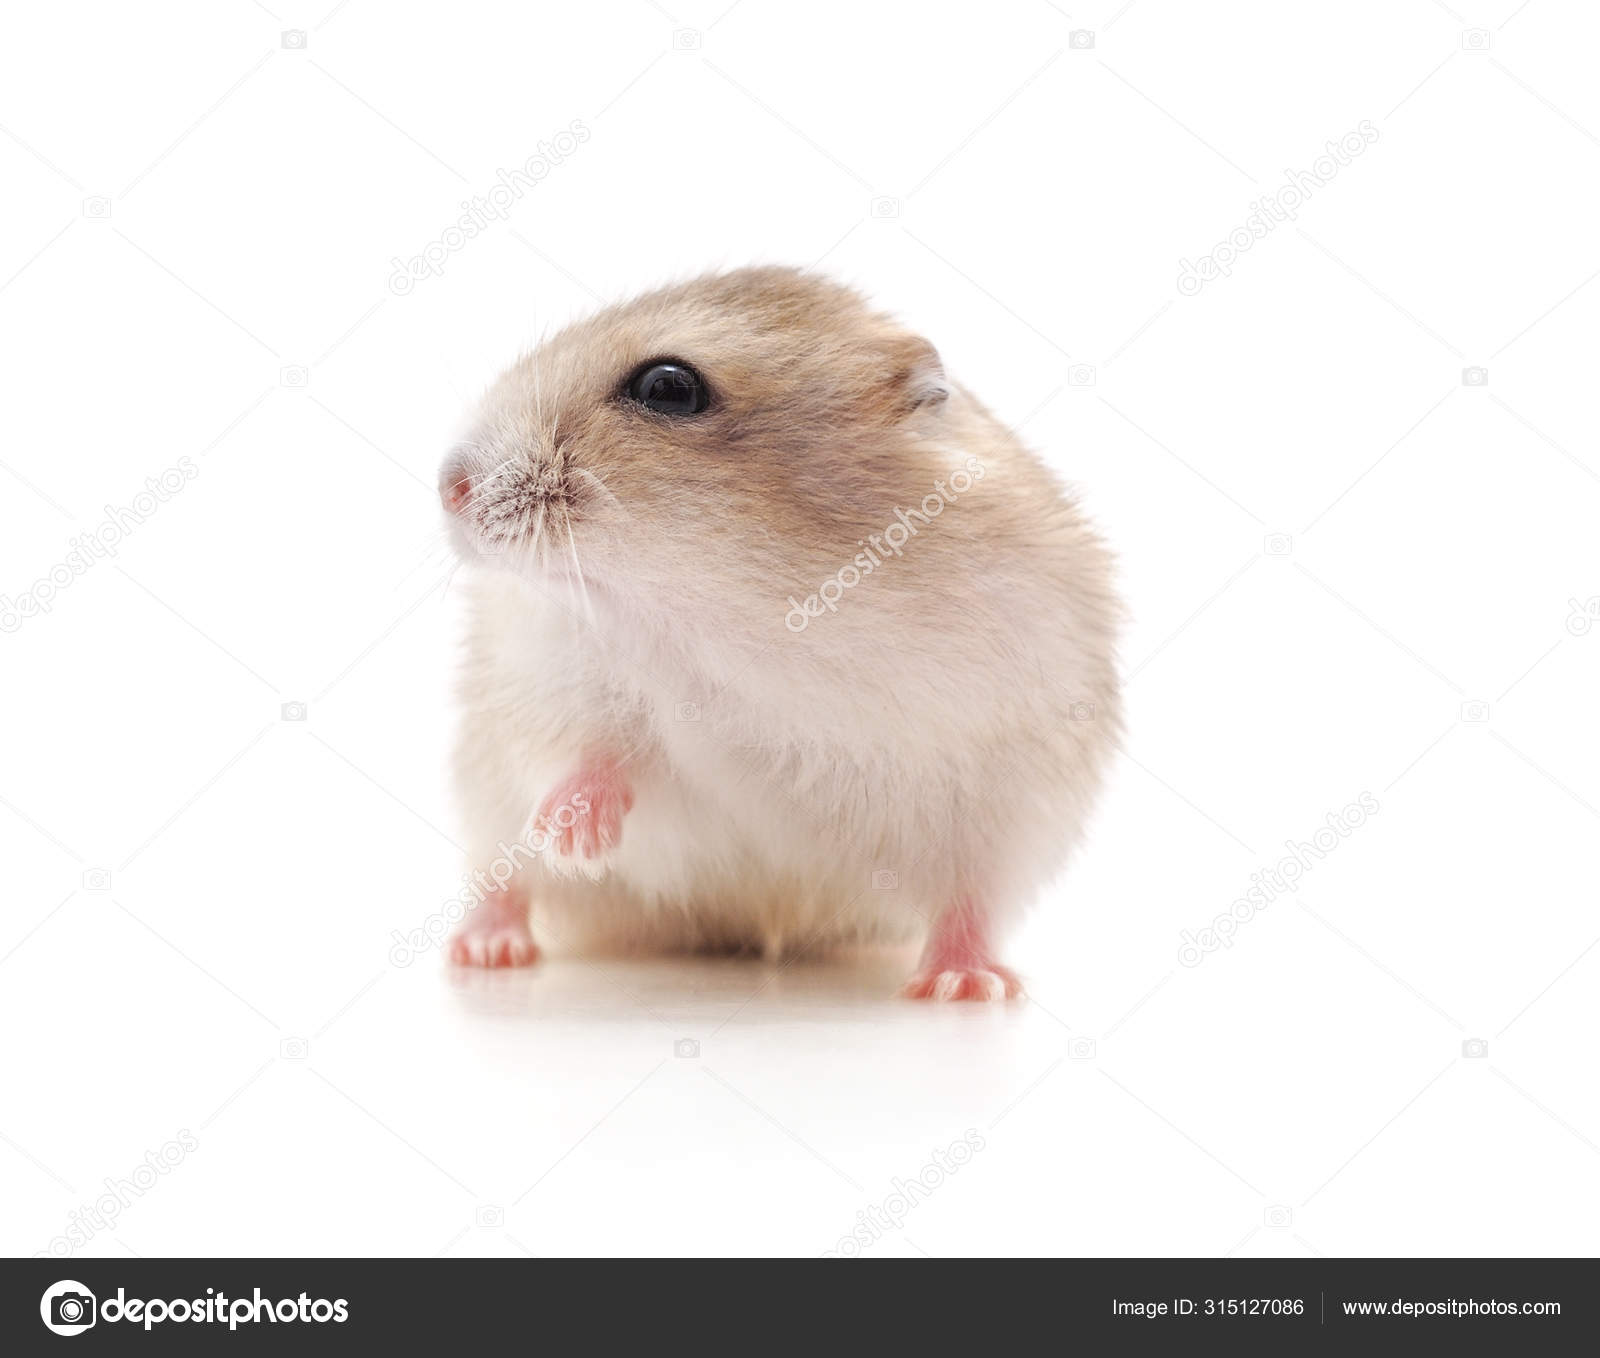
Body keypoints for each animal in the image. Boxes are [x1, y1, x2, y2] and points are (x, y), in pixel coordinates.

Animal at [432, 265, 1120, 998]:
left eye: (668, 388)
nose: (450, 487)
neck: (736, 606)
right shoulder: (545, 671)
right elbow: (594, 748)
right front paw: (575, 842)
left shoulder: (1011, 780)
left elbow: (971, 892)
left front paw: (964, 987)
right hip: (484, 796)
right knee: (501, 883)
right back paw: (485, 949)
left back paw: (962, 983)